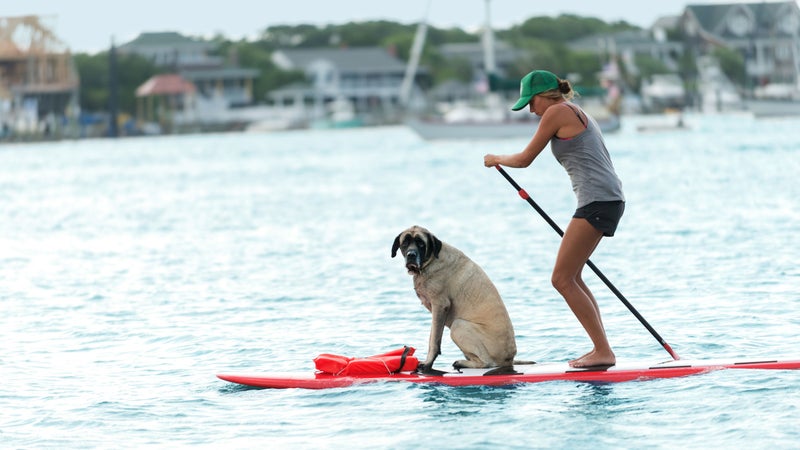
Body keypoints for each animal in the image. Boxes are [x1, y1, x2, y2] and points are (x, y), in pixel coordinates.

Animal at [390, 227, 528, 374]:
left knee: (487, 363)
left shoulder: (440, 306)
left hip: (459, 325)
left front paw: (428, 363)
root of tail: (509, 359)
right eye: (405, 243)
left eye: (421, 243)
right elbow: (433, 337)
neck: (431, 260)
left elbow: (434, 340)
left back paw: (462, 363)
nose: (411, 254)